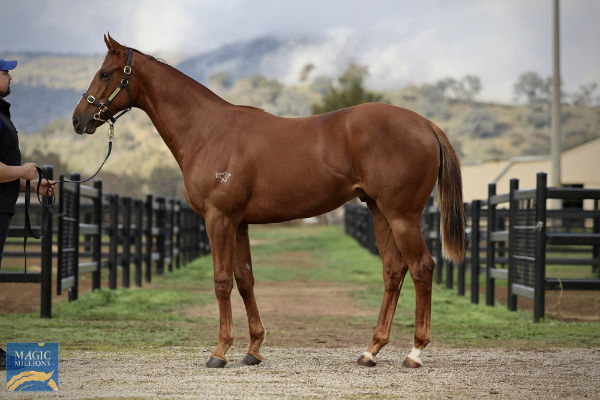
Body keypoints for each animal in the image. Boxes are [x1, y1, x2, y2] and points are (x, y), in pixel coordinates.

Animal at [70, 34, 464, 368]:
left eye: (105, 73)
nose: (78, 119)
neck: (208, 130)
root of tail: (426, 124)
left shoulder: (219, 218)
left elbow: (222, 281)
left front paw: (219, 352)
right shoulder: (239, 222)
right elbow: (245, 279)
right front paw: (254, 349)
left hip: (402, 216)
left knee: (422, 267)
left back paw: (414, 353)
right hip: (379, 211)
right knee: (393, 271)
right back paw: (371, 351)